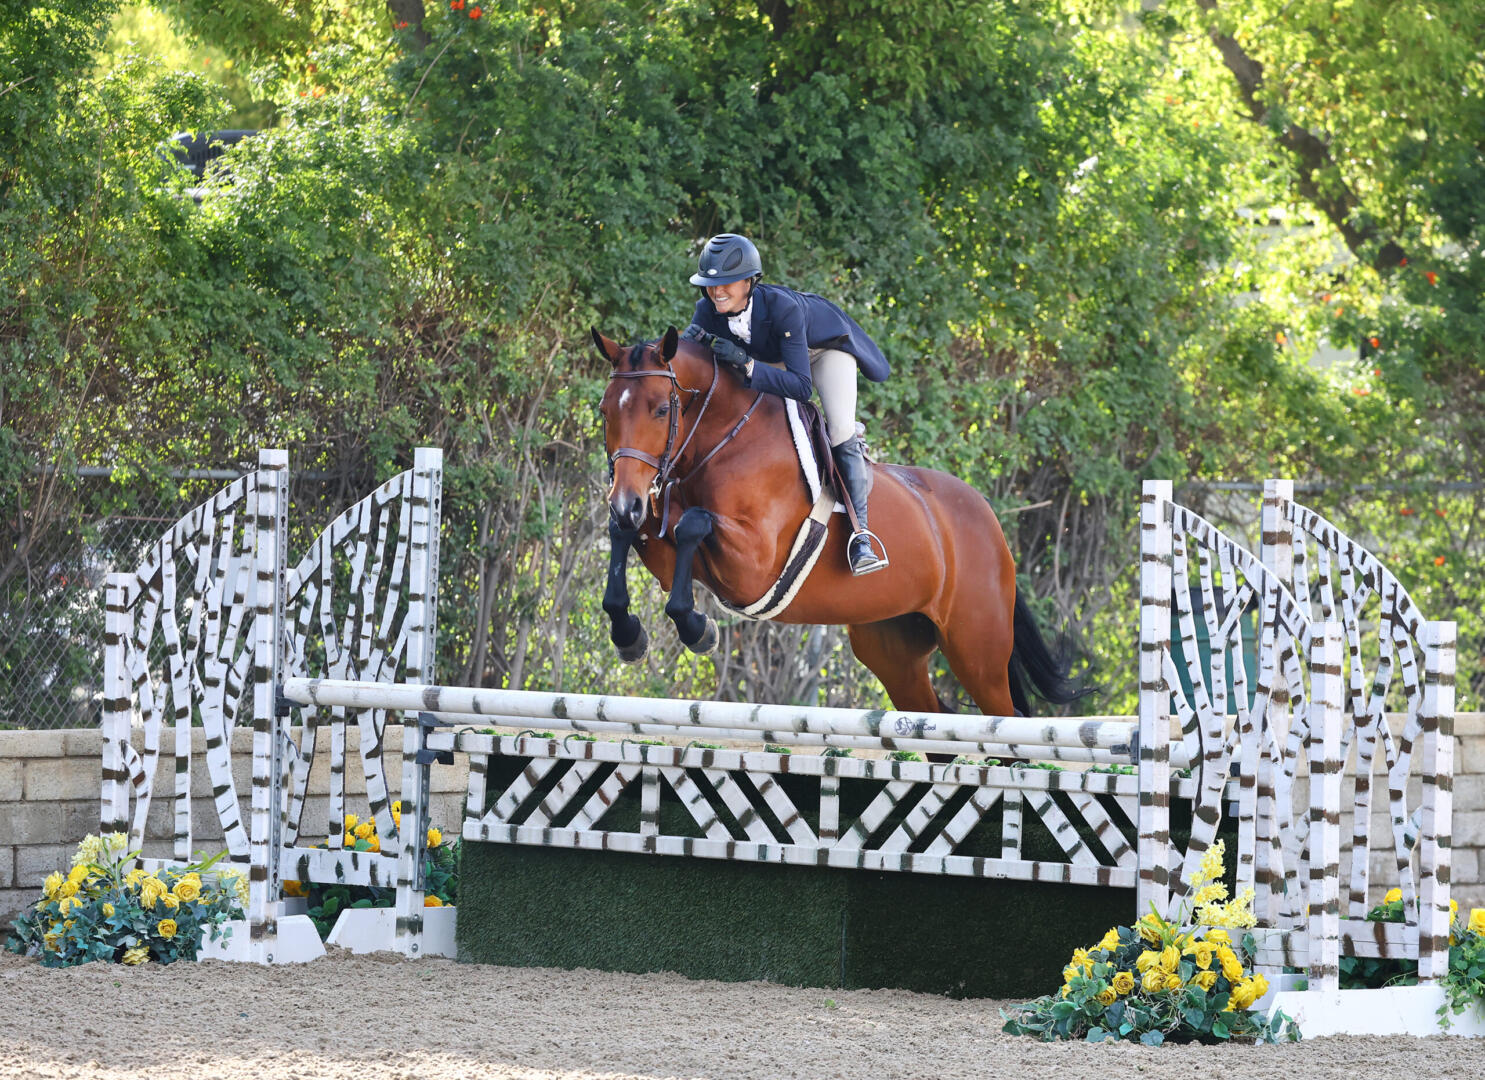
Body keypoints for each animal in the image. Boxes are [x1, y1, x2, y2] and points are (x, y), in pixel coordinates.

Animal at [588, 329, 1081, 719]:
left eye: (659, 410)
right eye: (605, 410)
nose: (625, 501)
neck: (724, 437)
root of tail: (989, 521)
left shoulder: (753, 565)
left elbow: (692, 524)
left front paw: (697, 629)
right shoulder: (663, 538)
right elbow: (632, 534)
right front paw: (628, 633)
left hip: (976, 648)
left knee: (1003, 717)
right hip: (892, 648)